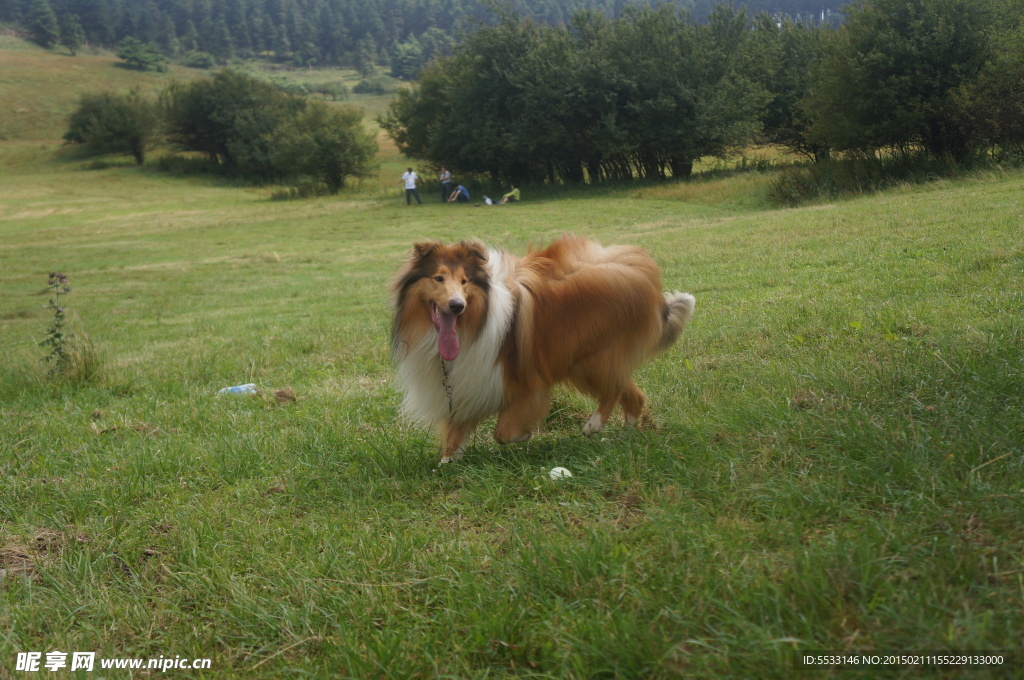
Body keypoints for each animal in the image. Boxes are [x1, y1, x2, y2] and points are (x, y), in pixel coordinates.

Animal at [391, 233, 696, 462]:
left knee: (614, 389)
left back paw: (594, 425)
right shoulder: (464, 386)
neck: (475, 323)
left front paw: (525, 434)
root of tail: (640, 273)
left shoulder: (525, 382)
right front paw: (446, 463)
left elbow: (503, 432)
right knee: (633, 394)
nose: (457, 306)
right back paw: (628, 434)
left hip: (591, 360)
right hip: (588, 360)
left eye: (464, 281)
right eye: (438, 278)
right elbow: (455, 435)